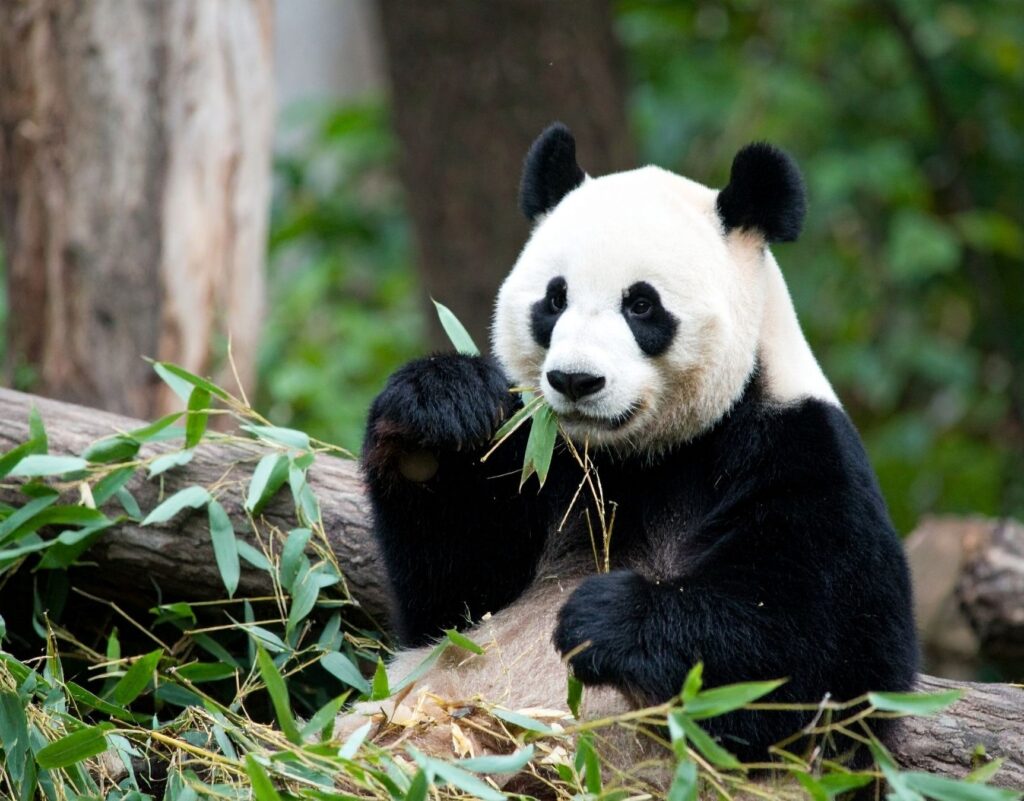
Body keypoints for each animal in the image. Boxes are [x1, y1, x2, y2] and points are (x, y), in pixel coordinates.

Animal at [357, 123, 918, 765]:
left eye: (642, 304)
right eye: (554, 299)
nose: (575, 380)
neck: (642, 456)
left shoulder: (800, 449)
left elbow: (828, 655)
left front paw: (607, 618)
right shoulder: (544, 461)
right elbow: (455, 593)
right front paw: (439, 409)